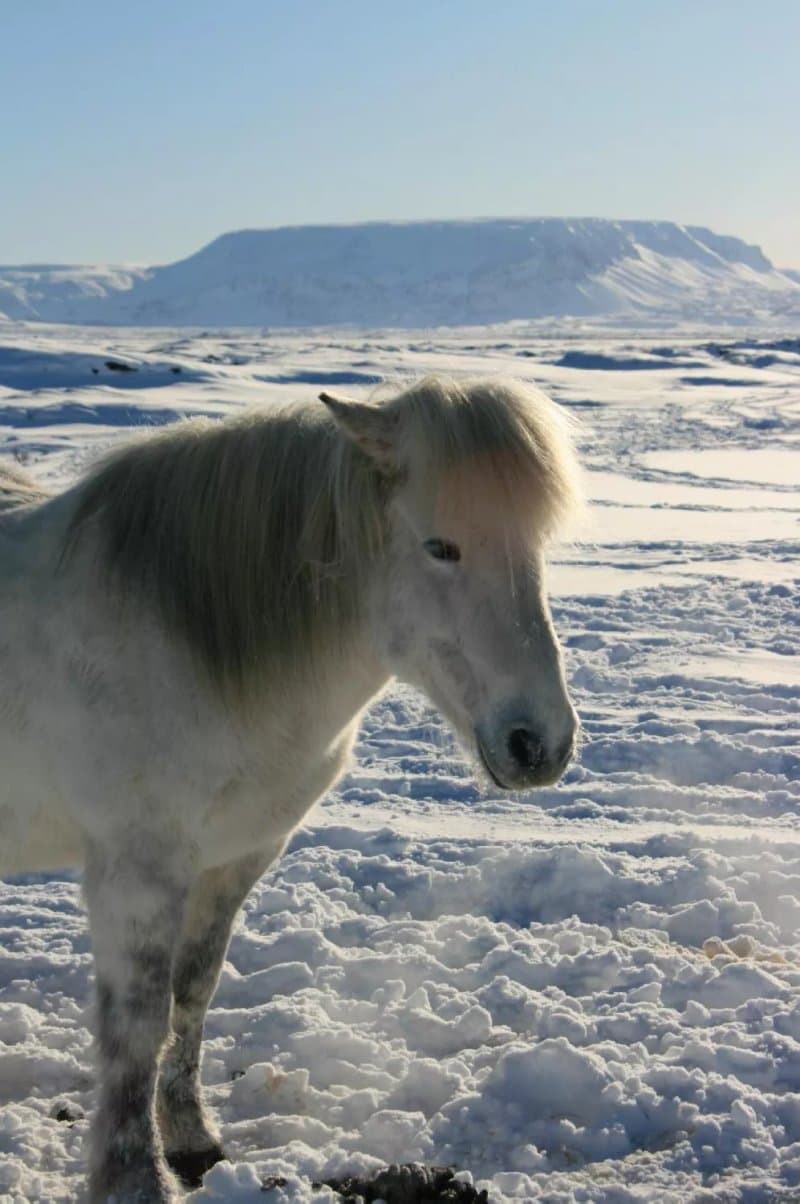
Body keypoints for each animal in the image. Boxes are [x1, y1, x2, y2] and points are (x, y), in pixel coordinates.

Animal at [0, 376, 581, 1202]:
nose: (541, 745)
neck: (188, 640)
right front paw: (134, 1178)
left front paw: (191, 1139)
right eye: (440, 546)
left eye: (535, 550)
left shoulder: (236, 856)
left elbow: (192, 993)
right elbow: (136, 1027)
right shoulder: (137, 869)